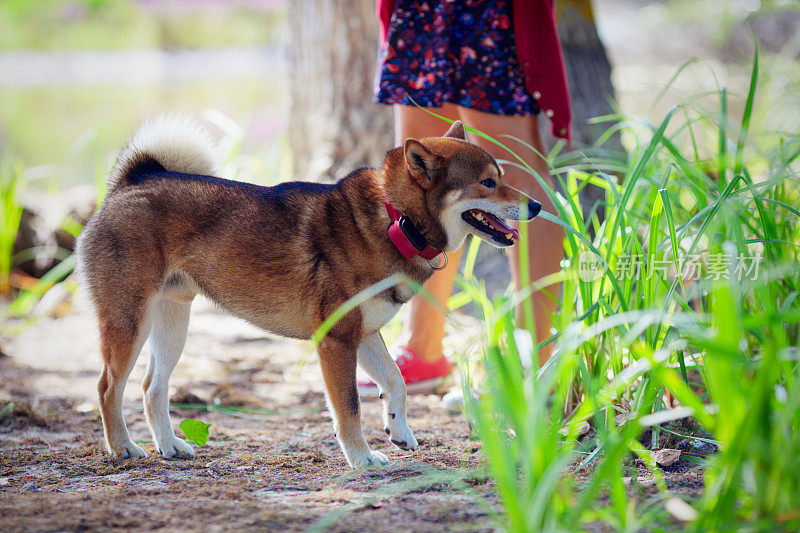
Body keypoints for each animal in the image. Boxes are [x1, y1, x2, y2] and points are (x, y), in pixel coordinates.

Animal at [78, 114, 540, 468]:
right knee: (107, 388)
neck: (396, 220)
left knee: (151, 388)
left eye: (500, 177)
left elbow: (396, 381)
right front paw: (361, 457)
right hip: (129, 323)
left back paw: (170, 446)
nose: (536, 205)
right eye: (487, 182)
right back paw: (123, 447)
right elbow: (348, 406)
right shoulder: (336, 341)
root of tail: (131, 182)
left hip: (173, 323)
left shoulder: (364, 334)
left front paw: (399, 428)